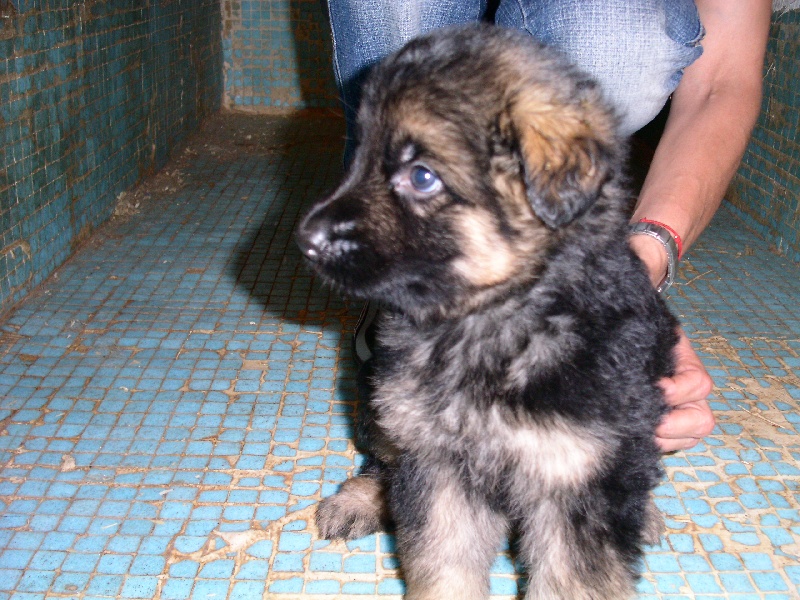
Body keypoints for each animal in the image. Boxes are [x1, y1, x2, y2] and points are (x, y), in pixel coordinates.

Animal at [294, 24, 676, 600]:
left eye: (421, 177)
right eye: (359, 159)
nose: (306, 239)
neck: (494, 320)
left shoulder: (578, 480)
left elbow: (573, 578)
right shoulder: (438, 462)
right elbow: (443, 559)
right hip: (385, 404)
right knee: (382, 458)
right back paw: (358, 499)